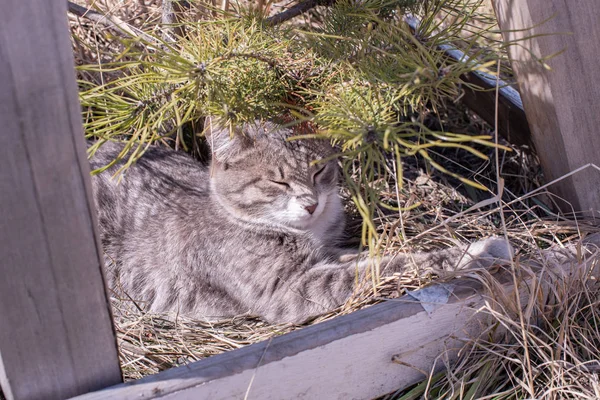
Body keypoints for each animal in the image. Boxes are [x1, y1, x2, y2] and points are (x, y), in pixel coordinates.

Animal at [91, 119, 512, 324]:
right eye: (277, 181)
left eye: (320, 171)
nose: (311, 204)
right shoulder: (290, 289)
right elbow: (387, 267)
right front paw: (478, 250)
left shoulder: (327, 255)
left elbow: (370, 259)